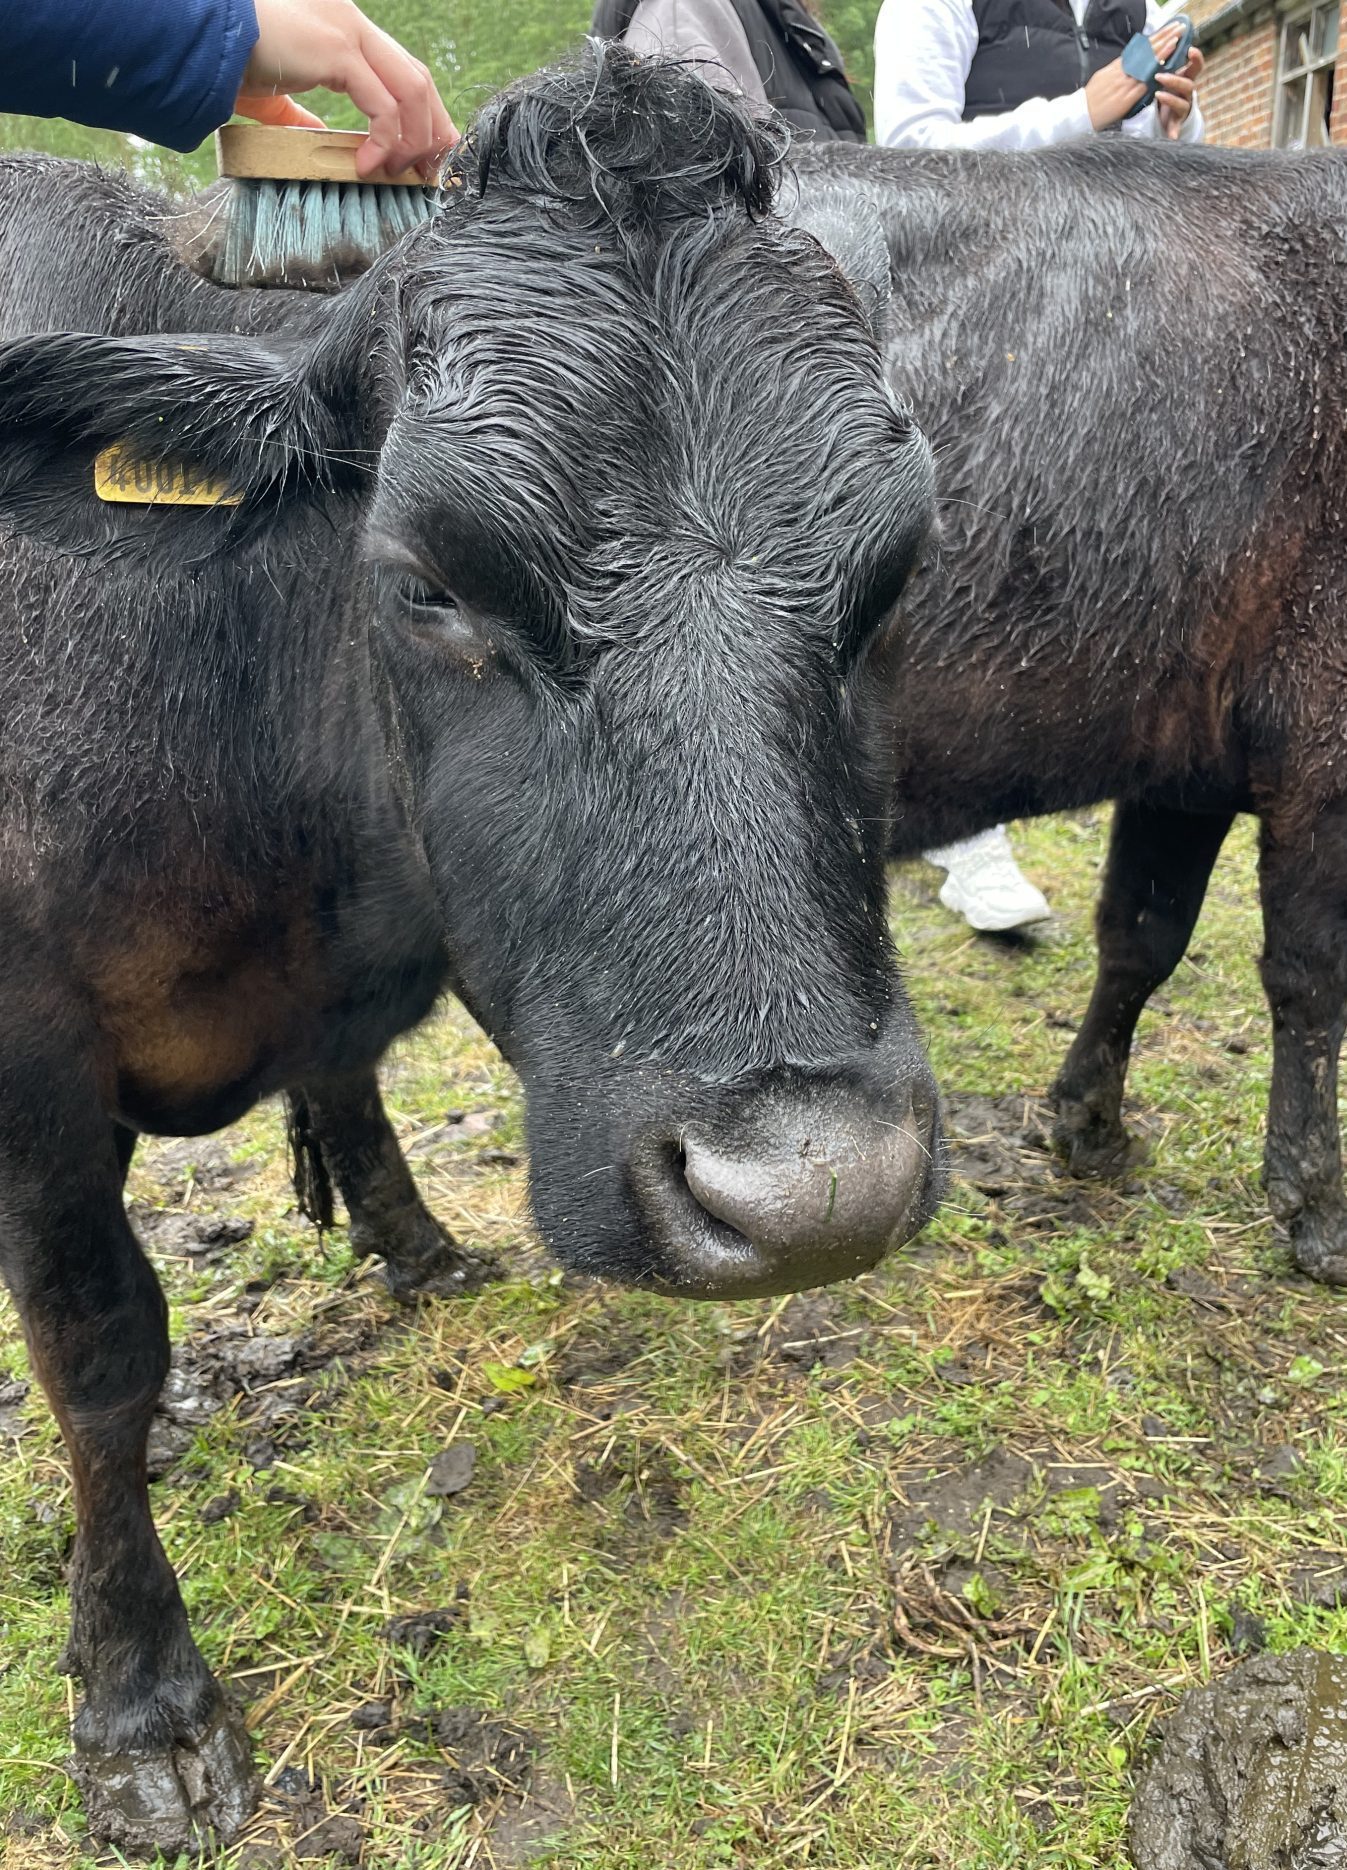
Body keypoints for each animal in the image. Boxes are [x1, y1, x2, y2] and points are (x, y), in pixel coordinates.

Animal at [0, 53, 942, 1850]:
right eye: (426, 579)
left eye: (892, 573)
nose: (813, 1193)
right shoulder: (29, 1078)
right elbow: (101, 1353)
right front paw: (146, 1704)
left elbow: (350, 1095)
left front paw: (419, 1247)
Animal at [789, 137, 1347, 1286]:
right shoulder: (1322, 759)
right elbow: (1310, 981)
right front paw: (1316, 1202)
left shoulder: (1186, 767)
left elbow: (1141, 936)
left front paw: (1087, 1123)